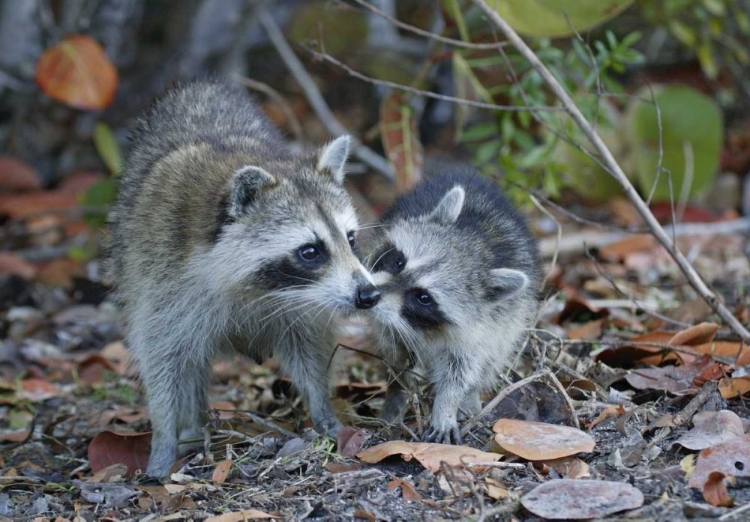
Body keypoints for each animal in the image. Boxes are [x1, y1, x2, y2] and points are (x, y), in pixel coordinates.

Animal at [110, 79, 382, 474]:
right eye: (310, 251)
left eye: (350, 239)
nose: (369, 295)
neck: (259, 288)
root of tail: (200, 87)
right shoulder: (162, 278)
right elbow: (162, 357)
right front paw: (163, 437)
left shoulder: (303, 304)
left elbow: (309, 349)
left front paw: (322, 408)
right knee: (190, 363)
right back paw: (191, 427)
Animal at [368, 171, 540, 442]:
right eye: (398, 261)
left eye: (424, 297)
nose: (366, 295)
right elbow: (393, 349)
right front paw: (398, 388)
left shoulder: (484, 325)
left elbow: (461, 369)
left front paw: (447, 405)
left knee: (493, 357)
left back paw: (470, 400)